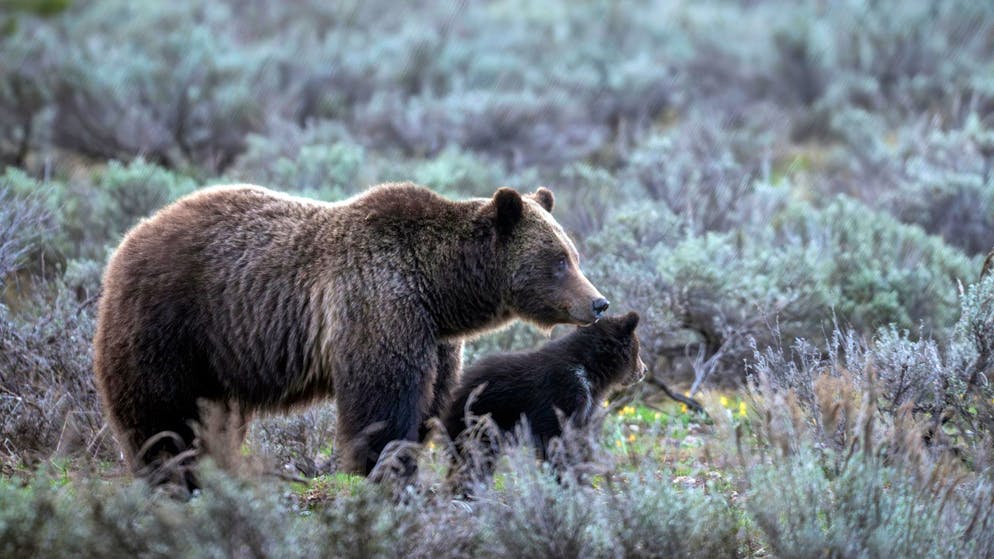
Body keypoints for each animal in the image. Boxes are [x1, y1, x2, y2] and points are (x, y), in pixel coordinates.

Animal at [92, 182, 609, 480]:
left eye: (573, 254)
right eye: (558, 261)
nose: (598, 303)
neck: (440, 289)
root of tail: (128, 238)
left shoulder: (435, 337)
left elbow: (430, 400)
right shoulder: (379, 302)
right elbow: (382, 398)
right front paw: (383, 468)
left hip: (216, 356)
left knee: (213, 417)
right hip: (172, 323)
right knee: (161, 412)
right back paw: (169, 472)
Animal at [442, 311, 645, 480]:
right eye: (638, 349)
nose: (644, 370)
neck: (589, 370)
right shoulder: (562, 393)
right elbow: (557, 438)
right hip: (482, 419)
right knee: (474, 455)